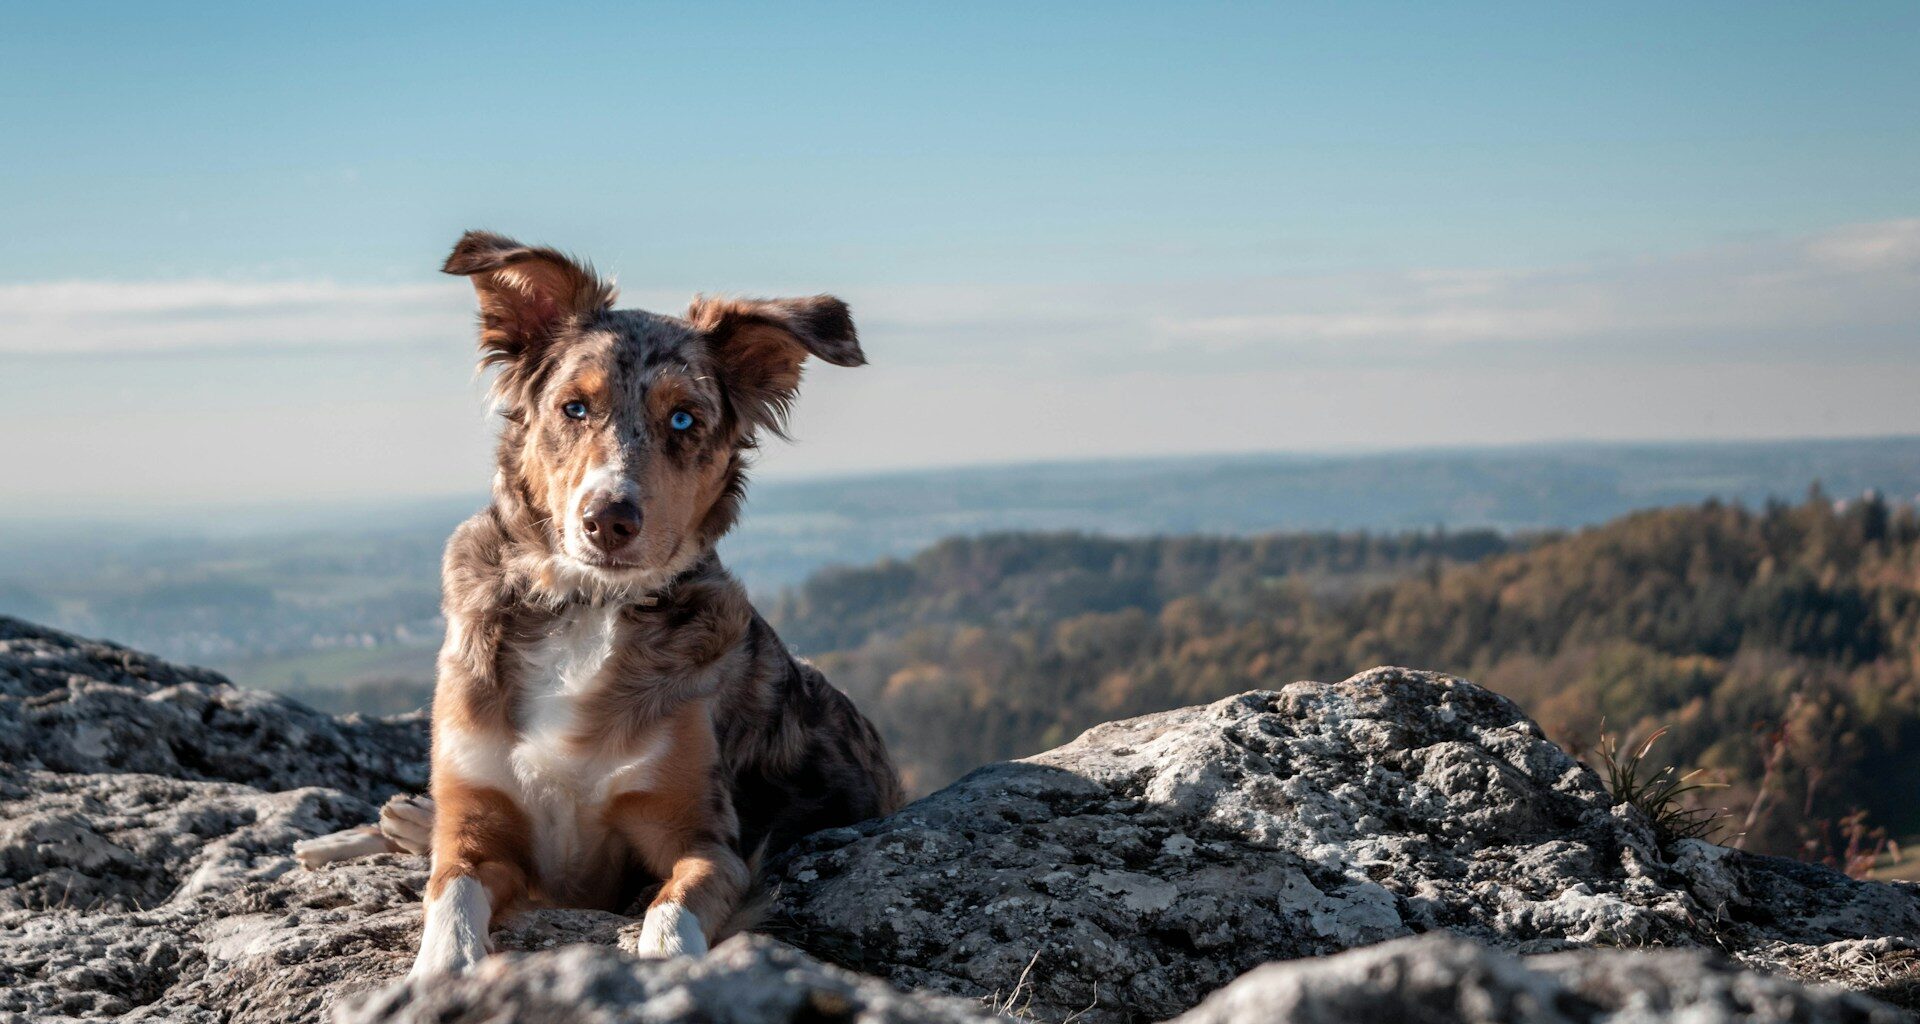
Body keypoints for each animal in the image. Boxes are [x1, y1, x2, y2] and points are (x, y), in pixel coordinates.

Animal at [293, 229, 906, 975]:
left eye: (683, 419)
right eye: (574, 407)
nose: (608, 520)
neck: (584, 608)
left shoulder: (702, 842)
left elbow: (669, 914)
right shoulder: (478, 826)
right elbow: (451, 896)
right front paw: (440, 969)